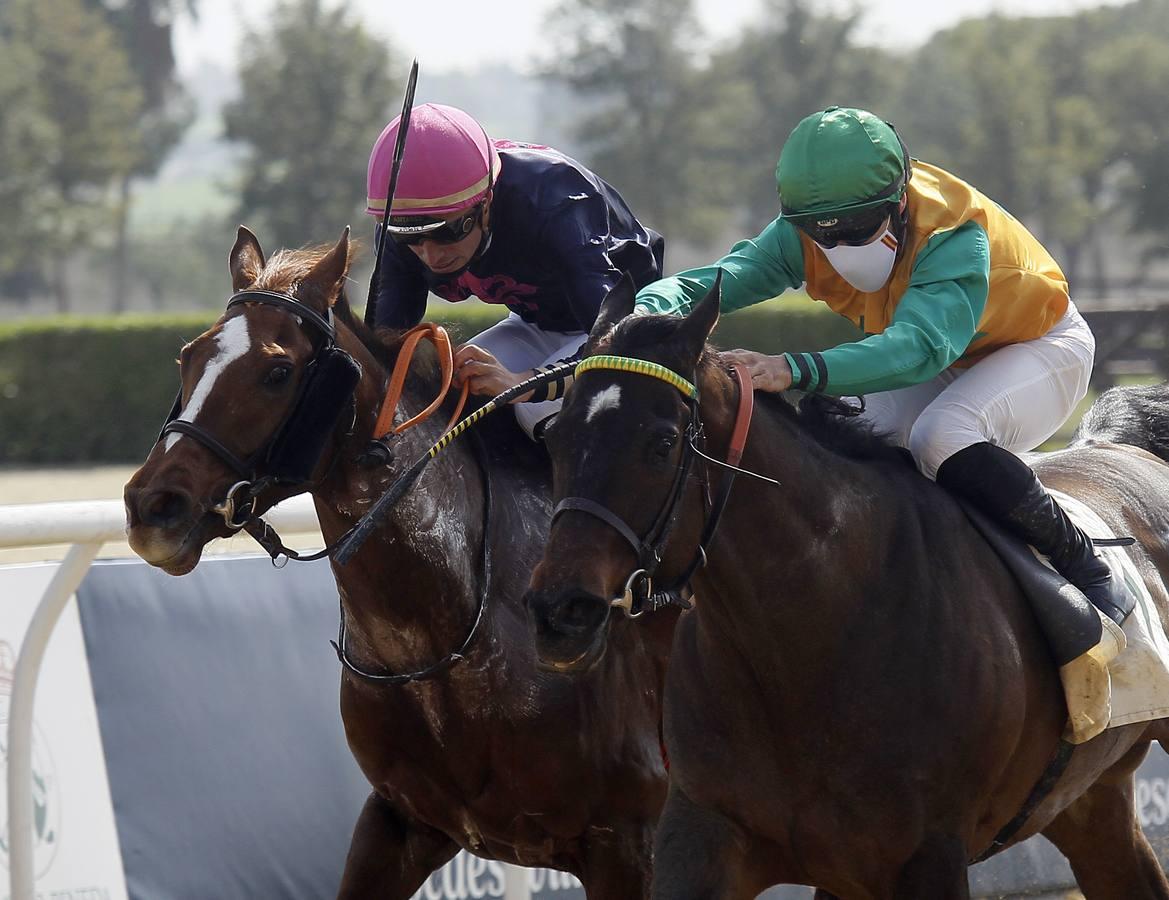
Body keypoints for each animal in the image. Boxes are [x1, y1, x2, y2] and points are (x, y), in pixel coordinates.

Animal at [526, 275, 1169, 897]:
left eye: (661, 444)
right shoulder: (709, 831)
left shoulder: (928, 854)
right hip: (1089, 800)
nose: (560, 611)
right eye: (553, 438)